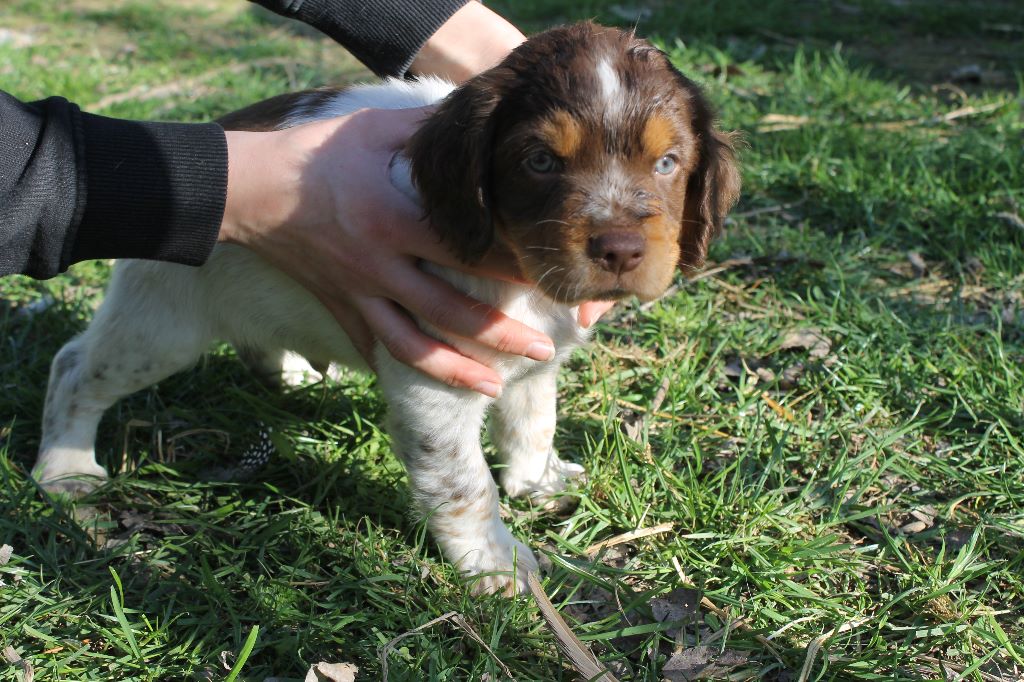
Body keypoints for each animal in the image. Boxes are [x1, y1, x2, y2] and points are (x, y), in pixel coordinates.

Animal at [32, 21, 737, 593]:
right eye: (540, 161)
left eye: (668, 162)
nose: (619, 250)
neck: (519, 276)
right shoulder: (435, 387)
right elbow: (465, 486)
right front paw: (495, 564)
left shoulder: (534, 358)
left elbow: (533, 422)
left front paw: (536, 483)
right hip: (159, 326)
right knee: (73, 367)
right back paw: (65, 469)